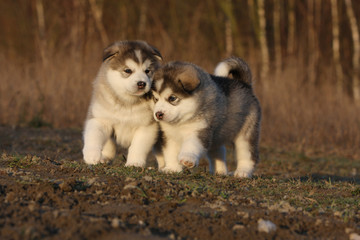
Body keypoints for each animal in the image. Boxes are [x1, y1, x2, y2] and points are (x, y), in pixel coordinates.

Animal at [83, 39, 162, 167]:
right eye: (128, 70)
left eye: (147, 71)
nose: (141, 83)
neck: (127, 103)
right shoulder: (100, 118)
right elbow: (93, 136)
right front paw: (92, 156)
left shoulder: (147, 126)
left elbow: (138, 146)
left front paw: (135, 162)